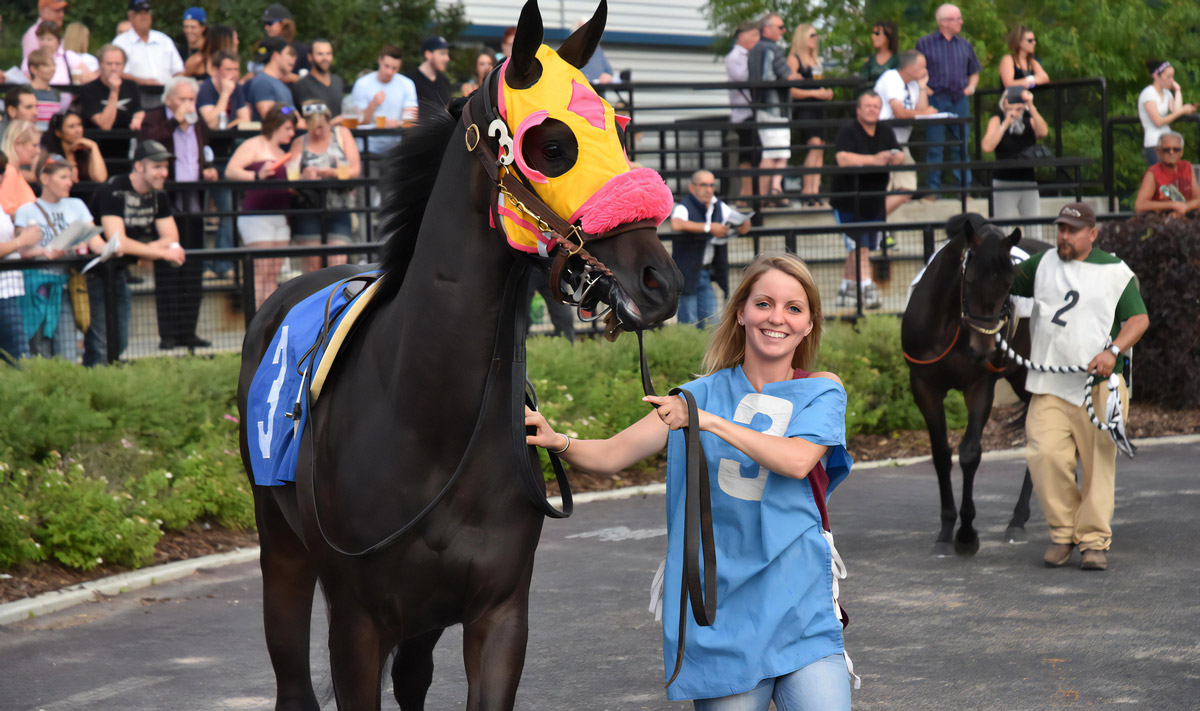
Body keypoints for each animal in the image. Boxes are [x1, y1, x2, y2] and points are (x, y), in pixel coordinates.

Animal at [235, 2, 686, 706]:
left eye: (619, 130)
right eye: (552, 146)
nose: (657, 281)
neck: (424, 419)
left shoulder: (497, 613)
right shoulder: (356, 625)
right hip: (282, 556)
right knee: (292, 678)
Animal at [902, 213, 1051, 557]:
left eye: (1009, 284)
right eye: (968, 280)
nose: (983, 349)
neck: (949, 325)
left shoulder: (979, 385)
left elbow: (969, 453)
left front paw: (967, 533)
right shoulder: (924, 387)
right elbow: (941, 454)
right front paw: (946, 530)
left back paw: (1021, 518)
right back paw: (1020, 518)